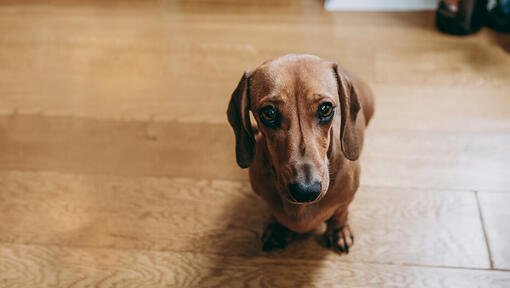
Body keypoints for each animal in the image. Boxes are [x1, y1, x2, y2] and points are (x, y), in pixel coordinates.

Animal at [227, 54, 374, 252]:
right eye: (269, 112)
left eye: (326, 108)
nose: (306, 191)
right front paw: (277, 228)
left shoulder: (346, 199)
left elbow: (340, 214)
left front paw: (339, 231)